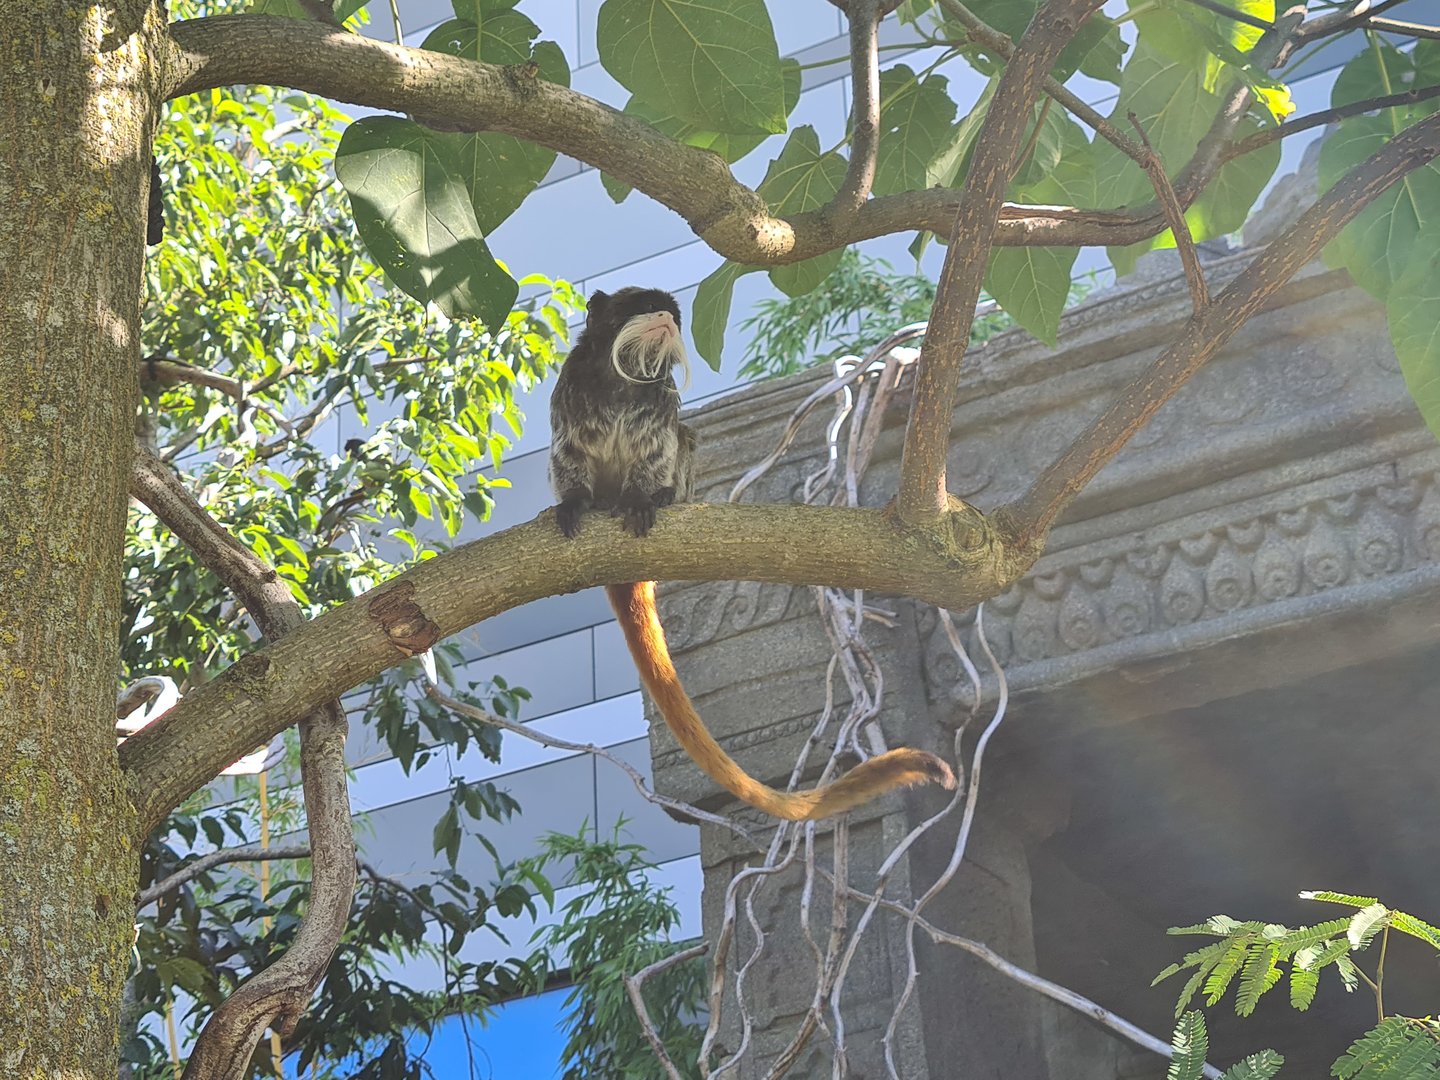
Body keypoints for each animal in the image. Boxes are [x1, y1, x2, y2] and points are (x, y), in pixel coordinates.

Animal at [547, 286, 956, 822]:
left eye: (670, 313)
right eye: (640, 307)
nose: (663, 318)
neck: (619, 382)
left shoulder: (657, 410)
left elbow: (657, 451)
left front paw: (641, 499)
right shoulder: (570, 396)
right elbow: (567, 458)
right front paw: (575, 503)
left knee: (684, 439)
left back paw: (660, 500)